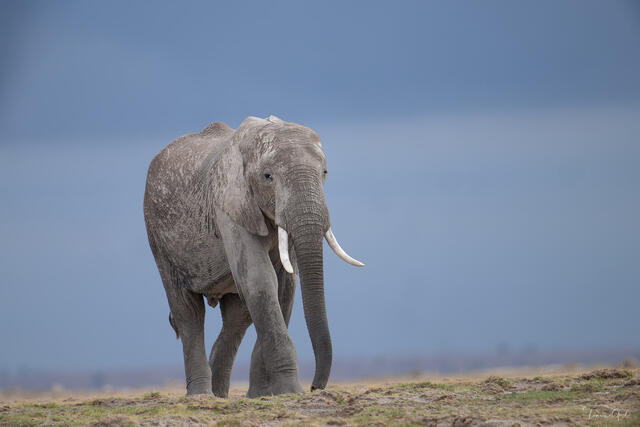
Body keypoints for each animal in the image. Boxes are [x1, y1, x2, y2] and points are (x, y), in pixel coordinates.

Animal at [143, 115, 363, 398]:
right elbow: (261, 279)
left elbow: (285, 286)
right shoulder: (229, 204)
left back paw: (220, 395)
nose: (315, 387)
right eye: (267, 176)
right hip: (158, 238)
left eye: (324, 173)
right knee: (188, 312)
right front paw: (290, 391)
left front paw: (265, 395)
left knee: (237, 318)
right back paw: (202, 395)